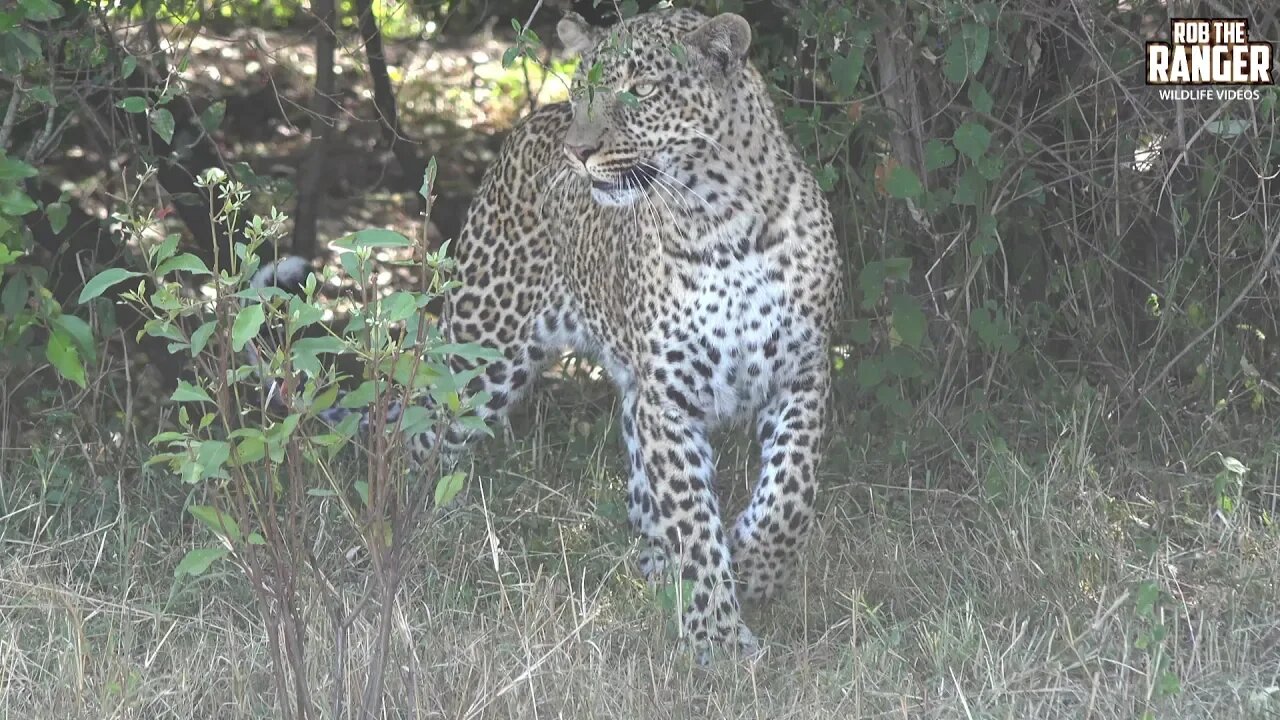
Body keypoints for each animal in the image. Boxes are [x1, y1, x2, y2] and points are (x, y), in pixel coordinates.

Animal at [254, 5, 844, 661]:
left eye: (640, 91)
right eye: (581, 87)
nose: (578, 153)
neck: (720, 222)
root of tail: (529, 125)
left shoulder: (804, 373)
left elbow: (791, 491)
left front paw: (758, 566)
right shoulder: (669, 396)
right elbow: (693, 517)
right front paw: (716, 632)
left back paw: (654, 563)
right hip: (481, 355)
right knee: (414, 441)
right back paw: (407, 541)